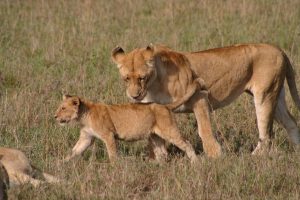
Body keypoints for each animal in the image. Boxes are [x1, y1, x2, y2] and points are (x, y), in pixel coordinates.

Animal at [54, 78, 206, 162]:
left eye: (63, 108)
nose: (54, 116)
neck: (83, 117)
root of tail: (164, 106)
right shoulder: (87, 137)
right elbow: (74, 151)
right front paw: (61, 163)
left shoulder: (108, 135)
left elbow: (112, 155)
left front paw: (114, 169)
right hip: (154, 136)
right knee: (162, 153)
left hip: (169, 130)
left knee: (186, 144)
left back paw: (195, 162)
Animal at [112, 43, 300, 157]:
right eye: (126, 78)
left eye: (142, 77)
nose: (134, 96)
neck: (154, 83)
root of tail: (278, 49)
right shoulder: (150, 110)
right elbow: (153, 137)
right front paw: (158, 160)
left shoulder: (200, 96)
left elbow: (204, 130)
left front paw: (214, 156)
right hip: (275, 95)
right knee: (291, 123)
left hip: (264, 95)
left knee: (266, 134)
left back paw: (252, 158)